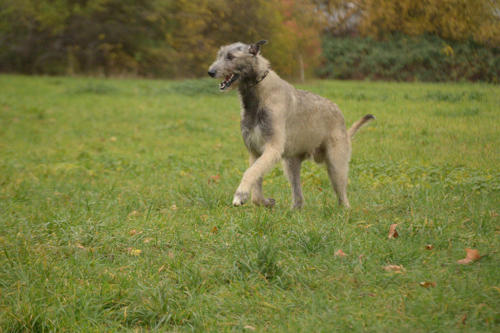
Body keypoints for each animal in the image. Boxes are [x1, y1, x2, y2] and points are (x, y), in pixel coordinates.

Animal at [208, 40, 376, 208]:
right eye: (219, 55)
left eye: (230, 57)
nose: (210, 72)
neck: (259, 92)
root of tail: (340, 115)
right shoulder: (255, 151)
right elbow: (256, 182)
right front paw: (265, 201)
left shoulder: (272, 148)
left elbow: (251, 172)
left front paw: (240, 194)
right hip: (291, 164)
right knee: (298, 195)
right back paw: (295, 209)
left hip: (336, 164)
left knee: (342, 195)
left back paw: (344, 209)